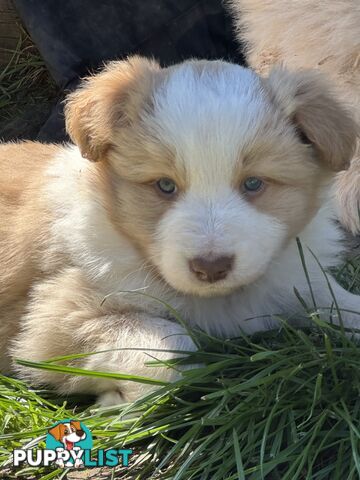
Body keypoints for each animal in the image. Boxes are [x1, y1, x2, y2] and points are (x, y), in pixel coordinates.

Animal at [0, 56, 360, 404]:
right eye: (165, 185)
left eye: (254, 183)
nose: (211, 268)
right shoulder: (52, 320)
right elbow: (173, 347)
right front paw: (116, 401)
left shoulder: (292, 277)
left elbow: (336, 300)